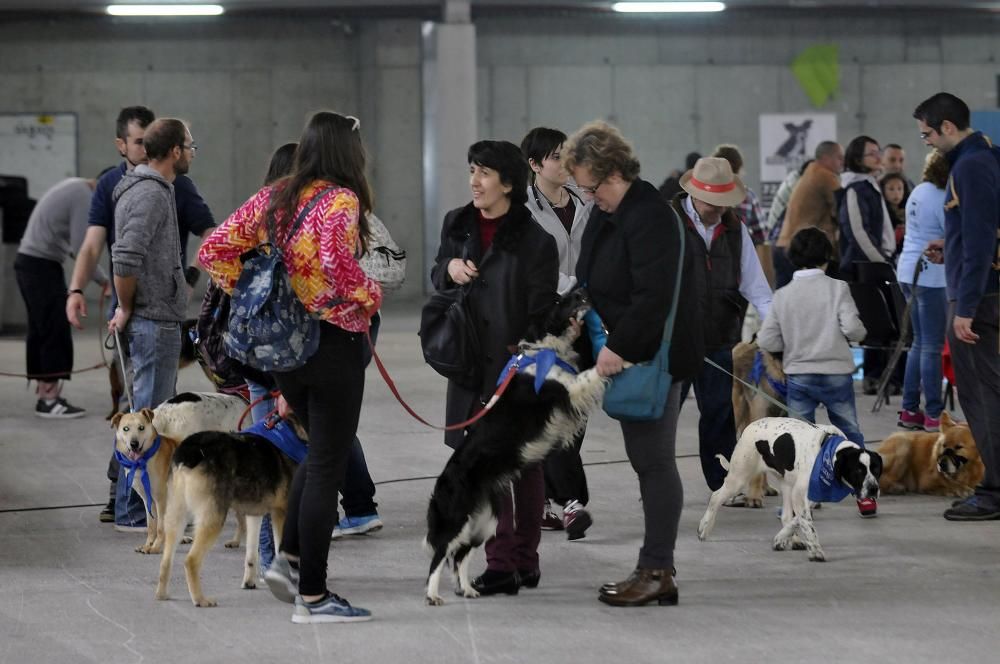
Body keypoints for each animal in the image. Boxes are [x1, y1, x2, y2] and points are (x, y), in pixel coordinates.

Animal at [696, 418, 884, 564]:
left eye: (875, 469)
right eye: (858, 471)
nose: (873, 489)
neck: (827, 454)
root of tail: (749, 427)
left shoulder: (807, 497)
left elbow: (797, 520)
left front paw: (782, 538)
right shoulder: (800, 495)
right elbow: (807, 524)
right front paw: (815, 551)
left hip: (787, 486)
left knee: (787, 515)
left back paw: (792, 539)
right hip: (738, 477)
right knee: (716, 497)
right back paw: (705, 527)